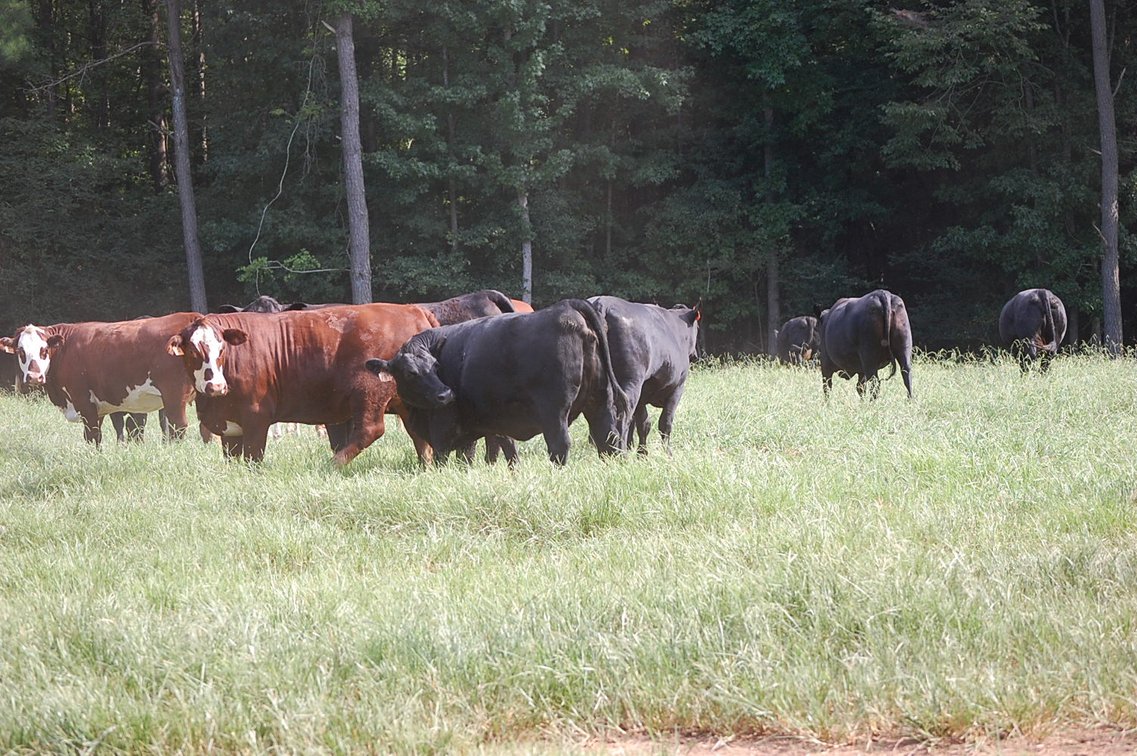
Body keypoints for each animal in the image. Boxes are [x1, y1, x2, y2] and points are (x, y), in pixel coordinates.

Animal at [0, 313, 200, 444]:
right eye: (20, 351)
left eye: (44, 350)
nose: (34, 376)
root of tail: (191, 317)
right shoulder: (99, 407)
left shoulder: (84, 401)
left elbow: (93, 436)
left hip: (174, 396)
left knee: (177, 427)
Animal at [166, 304, 439, 465]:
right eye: (193, 351)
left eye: (222, 348)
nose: (216, 387)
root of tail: (412, 309)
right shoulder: (230, 428)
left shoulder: (256, 417)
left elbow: (254, 457)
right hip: (406, 399)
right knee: (418, 433)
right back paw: (425, 465)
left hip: (370, 391)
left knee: (370, 429)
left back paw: (333, 464)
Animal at [365, 299, 630, 466]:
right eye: (411, 372)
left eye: (436, 366)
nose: (446, 394)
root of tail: (566, 307)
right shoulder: (495, 422)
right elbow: (501, 451)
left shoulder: (443, 428)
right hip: (599, 401)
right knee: (609, 440)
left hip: (555, 411)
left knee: (560, 445)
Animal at [587, 296, 700, 453]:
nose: (695, 354)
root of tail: (601, 302)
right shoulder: (677, 388)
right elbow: (665, 423)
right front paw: (667, 453)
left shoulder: (643, 394)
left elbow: (643, 424)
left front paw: (641, 453)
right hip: (631, 383)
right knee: (622, 416)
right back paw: (620, 452)